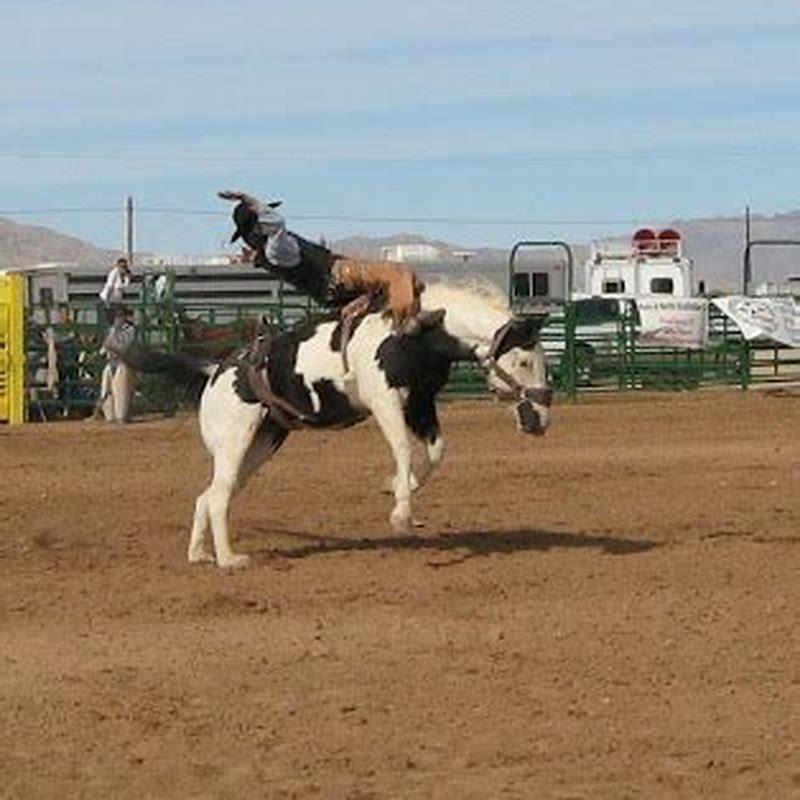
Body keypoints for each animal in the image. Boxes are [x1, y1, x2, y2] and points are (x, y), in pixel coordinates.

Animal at [108, 280, 552, 569]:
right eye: (523, 361)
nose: (542, 419)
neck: (417, 332)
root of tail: (214, 369)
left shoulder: (421, 403)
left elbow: (436, 452)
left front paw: (397, 487)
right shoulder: (384, 400)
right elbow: (403, 448)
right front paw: (401, 516)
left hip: (262, 443)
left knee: (209, 495)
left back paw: (199, 554)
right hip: (236, 440)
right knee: (217, 497)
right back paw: (230, 560)